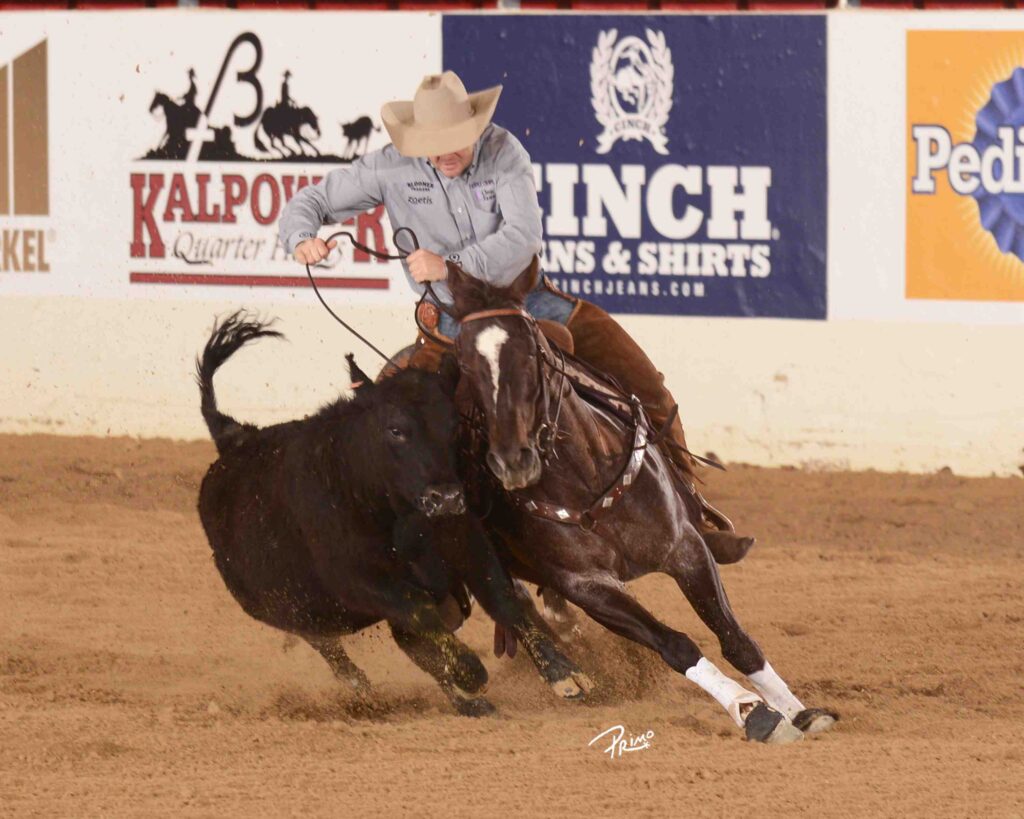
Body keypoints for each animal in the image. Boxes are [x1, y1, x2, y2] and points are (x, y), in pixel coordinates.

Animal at [194, 312, 590, 716]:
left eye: (454, 425)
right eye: (396, 430)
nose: (446, 498)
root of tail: (233, 437)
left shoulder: (467, 542)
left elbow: (502, 599)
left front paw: (564, 672)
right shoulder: (360, 582)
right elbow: (420, 613)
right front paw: (469, 670)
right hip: (281, 607)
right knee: (329, 644)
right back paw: (369, 686)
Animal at [443, 260, 837, 743]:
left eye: (530, 352)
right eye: (464, 362)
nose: (511, 460)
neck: (586, 481)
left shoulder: (686, 547)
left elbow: (735, 637)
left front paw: (799, 711)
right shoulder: (589, 586)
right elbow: (676, 643)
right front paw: (753, 713)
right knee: (512, 602)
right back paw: (563, 675)